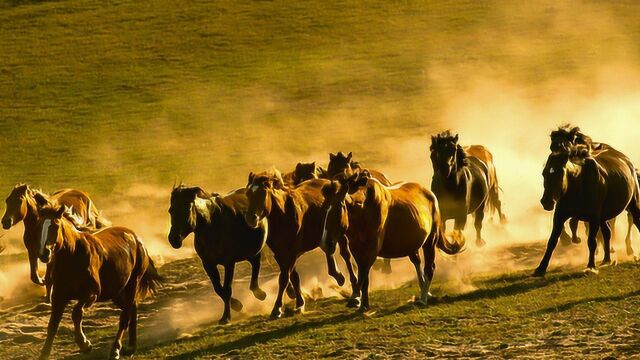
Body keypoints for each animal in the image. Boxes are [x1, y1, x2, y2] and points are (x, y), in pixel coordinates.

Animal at [36, 205, 160, 360]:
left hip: (132, 283)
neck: (73, 256)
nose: (44, 253)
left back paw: (116, 350)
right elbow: (52, 325)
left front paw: (85, 344)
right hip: (116, 292)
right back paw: (131, 346)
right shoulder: (59, 297)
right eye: (39, 225)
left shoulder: (91, 294)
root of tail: (136, 238)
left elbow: (76, 313)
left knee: (125, 316)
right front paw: (44, 354)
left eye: (55, 225)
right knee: (132, 309)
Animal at [168, 186, 268, 324]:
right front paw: (237, 305)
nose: (174, 239)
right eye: (171, 210)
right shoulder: (208, 264)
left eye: (187, 208)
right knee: (255, 263)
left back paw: (263, 294)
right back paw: (259, 293)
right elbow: (218, 289)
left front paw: (226, 317)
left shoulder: (229, 263)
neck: (211, 225)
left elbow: (227, 289)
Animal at [244, 167, 356, 320]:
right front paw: (300, 303)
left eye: (262, 193)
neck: (284, 215)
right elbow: (293, 276)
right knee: (329, 250)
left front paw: (277, 309)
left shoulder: (291, 253)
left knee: (346, 255)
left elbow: (284, 278)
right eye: (248, 193)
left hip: (341, 233)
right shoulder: (281, 254)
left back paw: (353, 288)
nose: (251, 219)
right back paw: (338, 275)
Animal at [320, 172, 464, 312]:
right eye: (324, 210)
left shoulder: (372, 249)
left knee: (429, 268)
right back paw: (425, 292)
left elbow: (363, 272)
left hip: (430, 242)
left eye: (338, 209)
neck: (364, 209)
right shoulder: (356, 249)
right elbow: (364, 276)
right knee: (417, 262)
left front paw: (355, 299)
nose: (325, 243)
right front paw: (363, 304)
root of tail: (431, 195)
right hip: (411, 246)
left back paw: (423, 299)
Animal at [532, 145, 640, 278]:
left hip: (633, 207)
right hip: (603, 217)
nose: (546, 201)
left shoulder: (593, 218)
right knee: (607, 232)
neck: (577, 184)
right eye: (544, 173)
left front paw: (590, 267)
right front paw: (540, 268)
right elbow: (552, 241)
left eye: (560, 173)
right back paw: (606, 260)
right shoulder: (560, 216)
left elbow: (592, 241)